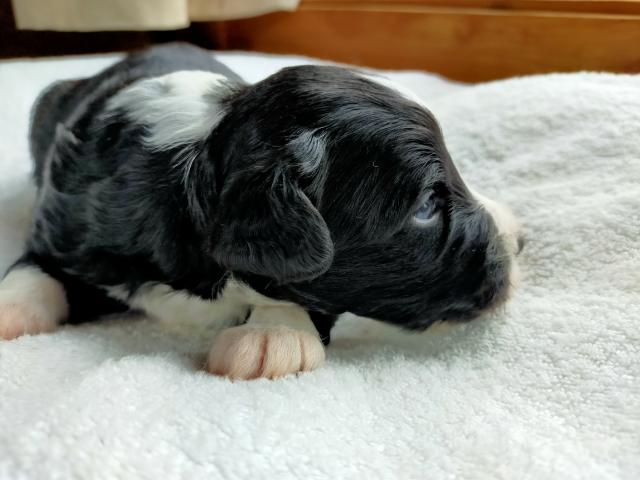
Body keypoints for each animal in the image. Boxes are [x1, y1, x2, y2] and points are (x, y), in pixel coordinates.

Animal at [0, 43, 524, 379]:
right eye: (427, 207)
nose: (521, 241)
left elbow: (294, 294)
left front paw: (273, 335)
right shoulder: (66, 221)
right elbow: (35, 268)